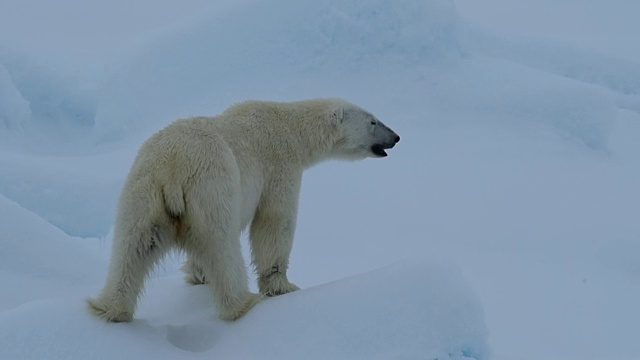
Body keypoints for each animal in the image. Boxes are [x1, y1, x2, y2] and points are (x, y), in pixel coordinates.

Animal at [89, 97, 400, 320]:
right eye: (373, 121)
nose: (396, 137)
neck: (287, 124)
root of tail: (172, 168)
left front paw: (198, 276)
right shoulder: (279, 166)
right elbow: (274, 223)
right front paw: (282, 286)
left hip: (142, 192)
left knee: (133, 247)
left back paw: (110, 308)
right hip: (211, 188)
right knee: (221, 245)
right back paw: (243, 303)